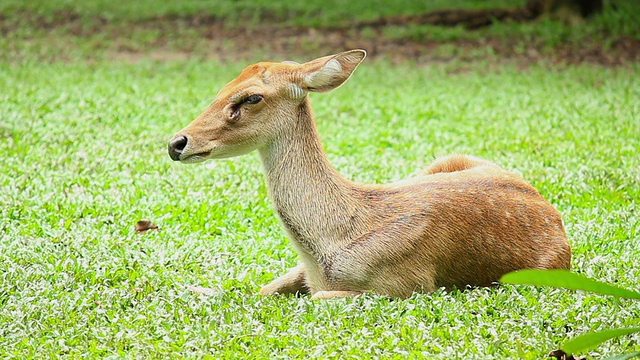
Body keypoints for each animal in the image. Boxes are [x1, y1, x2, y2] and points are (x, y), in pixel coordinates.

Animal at [168, 49, 572, 300]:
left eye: (251, 97)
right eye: (222, 89)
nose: (177, 143)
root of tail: (553, 213)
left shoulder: (406, 285)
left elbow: (312, 299)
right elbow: (256, 291)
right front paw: (195, 288)